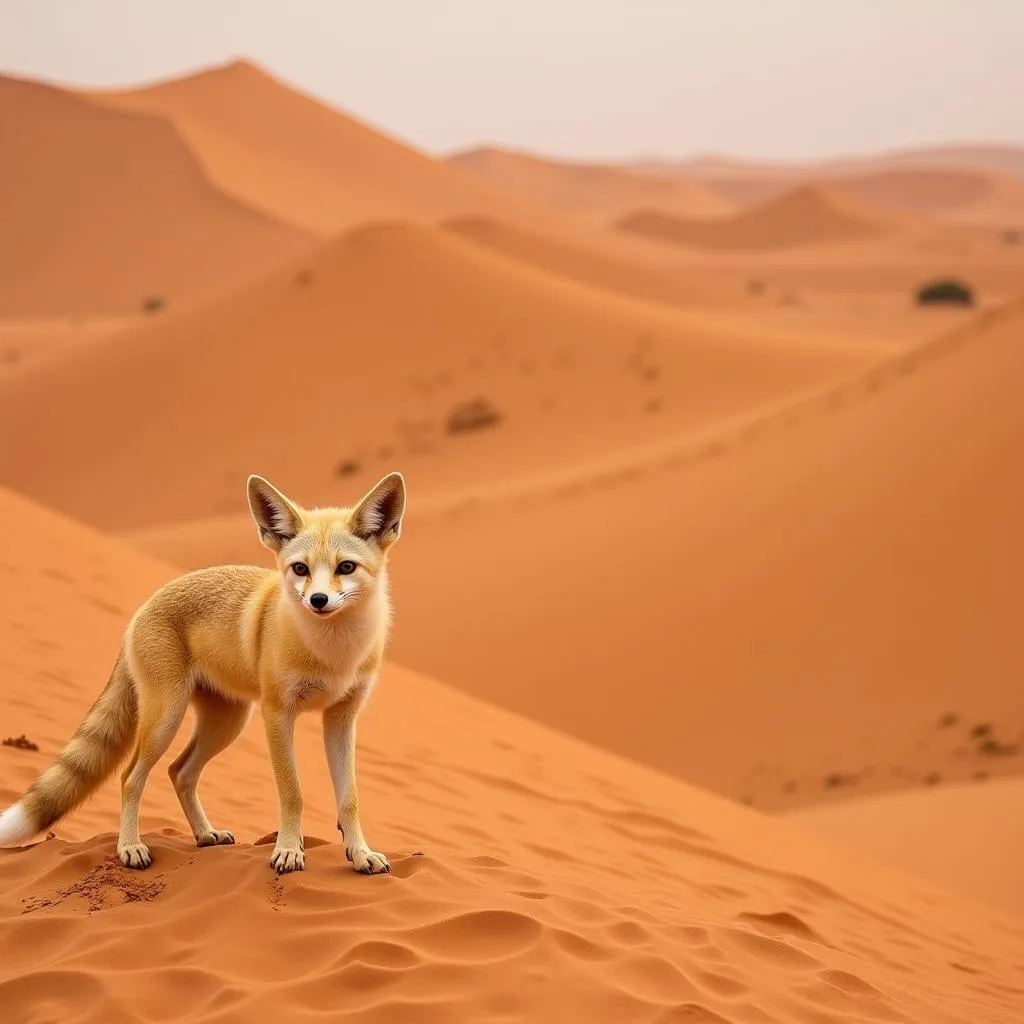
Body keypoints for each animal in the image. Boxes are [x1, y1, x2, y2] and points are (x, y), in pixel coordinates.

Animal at [0, 471, 405, 872]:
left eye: (346, 567)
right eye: (300, 569)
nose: (318, 601)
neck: (332, 654)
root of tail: (142, 608)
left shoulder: (341, 717)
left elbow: (349, 799)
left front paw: (360, 854)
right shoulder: (277, 712)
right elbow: (293, 793)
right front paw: (289, 850)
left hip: (226, 723)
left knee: (180, 772)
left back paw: (204, 834)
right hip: (167, 719)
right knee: (131, 777)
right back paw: (130, 847)